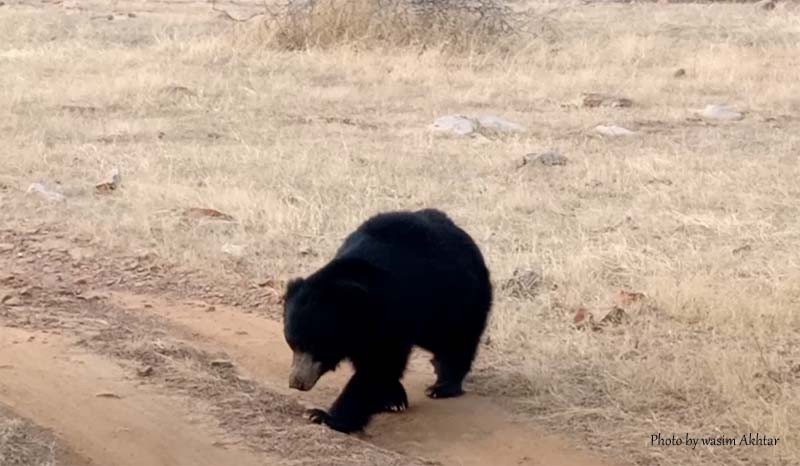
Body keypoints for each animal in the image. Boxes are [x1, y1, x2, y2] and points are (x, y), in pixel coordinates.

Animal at [284, 208, 490, 434]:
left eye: (316, 346)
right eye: (293, 344)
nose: (296, 382)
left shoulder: (391, 313)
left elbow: (378, 366)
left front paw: (323, 416)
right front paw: (393, 399)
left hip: (456, 300)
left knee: (455, 340)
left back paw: (442, 386)